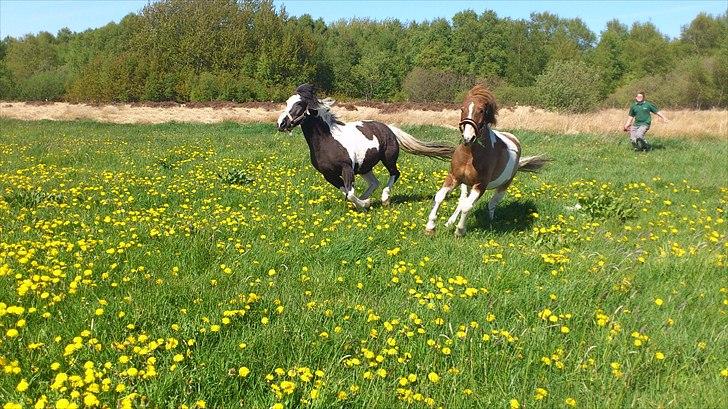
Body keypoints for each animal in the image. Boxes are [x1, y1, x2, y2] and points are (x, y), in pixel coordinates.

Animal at [277, 83, 455, 209]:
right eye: (286, 103)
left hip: (388, 158)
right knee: (374, 182)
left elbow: (349, 193)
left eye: (299, 104)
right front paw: (364, 204)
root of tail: (389, 128)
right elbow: (346, 191)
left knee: (395, 174)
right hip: (364, 167)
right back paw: (367, 198)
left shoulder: (347, 168)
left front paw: (365, 204)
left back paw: (384, 199)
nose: (281, 124)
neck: (327, 140)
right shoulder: (328, 175)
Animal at [425, 84, 548, 236]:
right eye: (462, 108)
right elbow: (440, 197)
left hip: (503, 186)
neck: (470, 156)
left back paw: (489, 221)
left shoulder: (480, 185)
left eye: (482, 110)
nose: (468, 138)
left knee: (491, 203)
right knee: (461, 201)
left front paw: (460, 231)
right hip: (466, 185)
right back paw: (449, 222)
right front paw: (430, 227)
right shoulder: (454, 177)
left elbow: (468, 206)